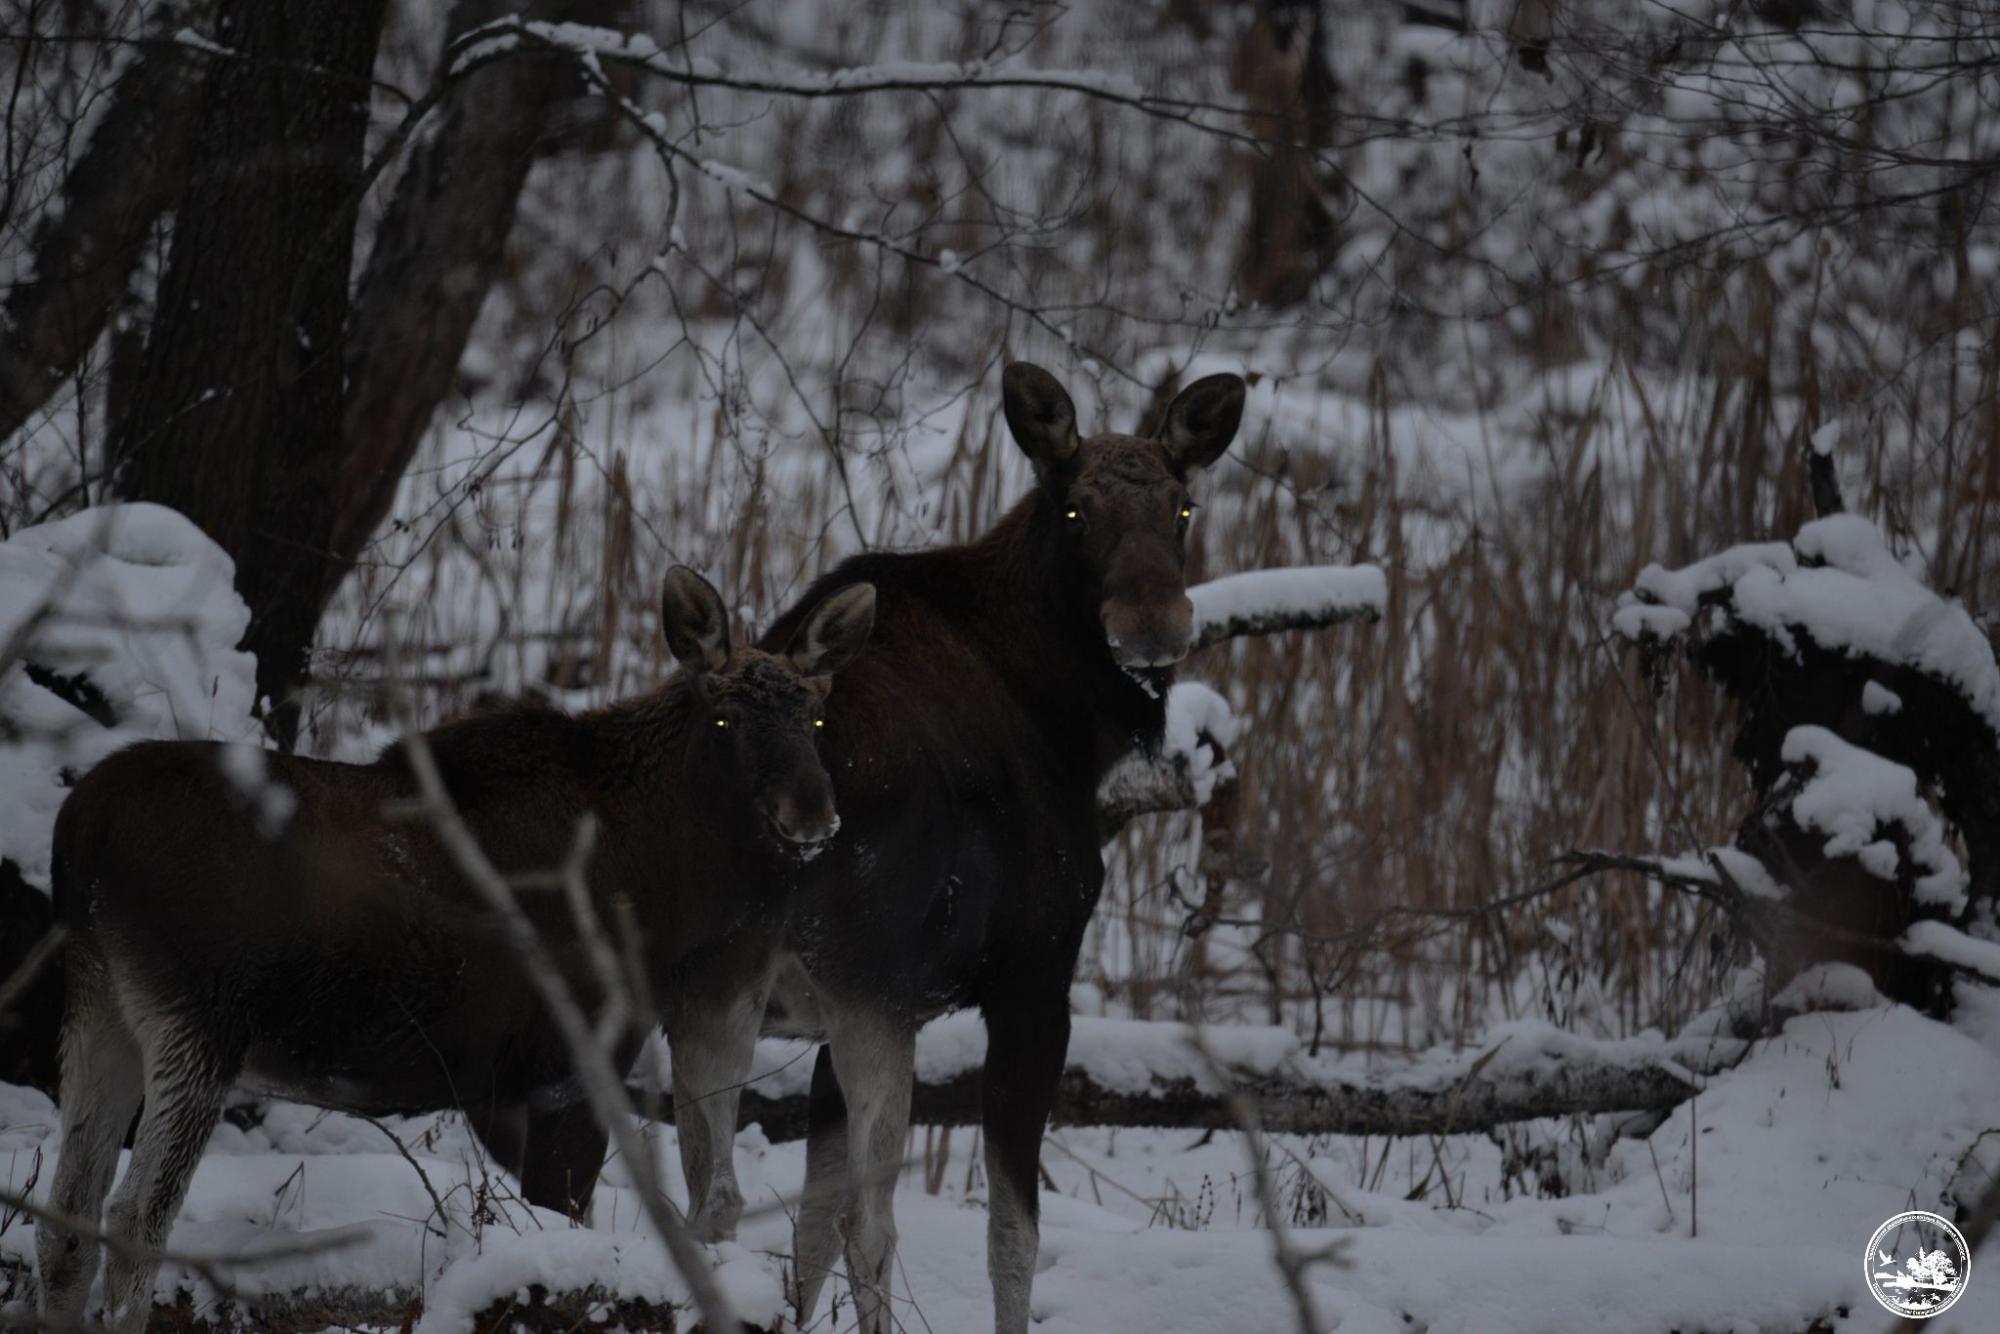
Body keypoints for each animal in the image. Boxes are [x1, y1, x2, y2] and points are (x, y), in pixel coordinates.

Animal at [35, 568, 872, 1334]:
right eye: (725, 720)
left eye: (818, 717)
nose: (811, 816)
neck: (667, 891)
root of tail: (79, 829)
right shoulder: (571, 1063)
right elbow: (568, 1224)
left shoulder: (499, 1087)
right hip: (198, 1021)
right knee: (135, 1216)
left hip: (102, 1007)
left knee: (67, 1215)